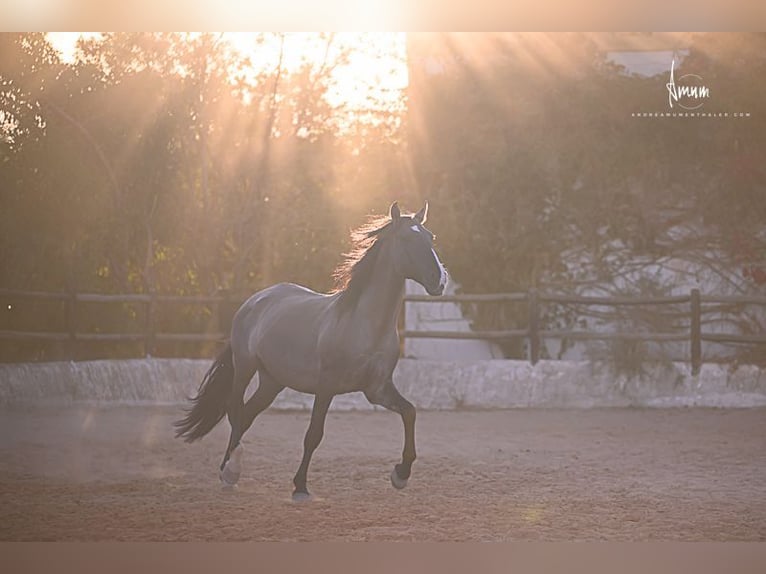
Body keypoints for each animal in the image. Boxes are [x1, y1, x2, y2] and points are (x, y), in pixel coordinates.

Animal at [174, 201, 447, 500]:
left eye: (431, 237)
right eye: (407, 239)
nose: (440, 280)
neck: (363, 324)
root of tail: (253, 301)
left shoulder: (377, 389)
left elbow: (410, 412)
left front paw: (401, 474)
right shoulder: (326, 386)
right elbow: (314, 433)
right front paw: (300, 486)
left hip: (272, 381)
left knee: (245, 416)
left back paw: (226, 471)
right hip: (245, 367)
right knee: (234, 411)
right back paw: (232, 469)